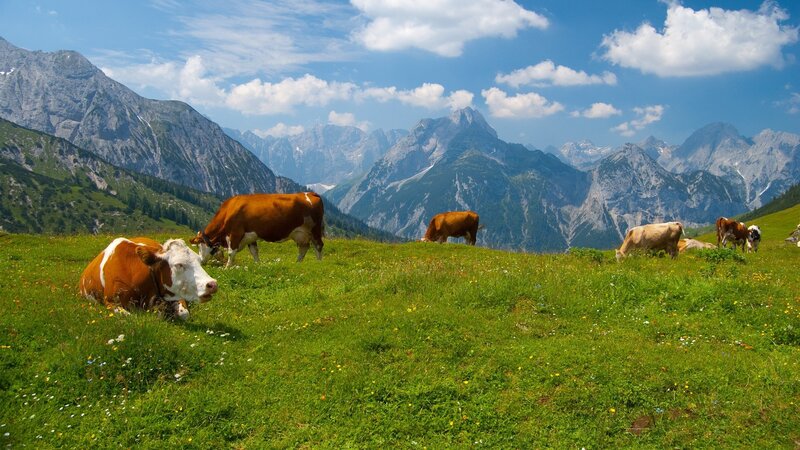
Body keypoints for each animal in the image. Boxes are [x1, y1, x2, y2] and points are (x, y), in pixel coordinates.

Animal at [79, 237, 218, 320]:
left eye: (199, 261)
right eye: (179, 264)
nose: (212, 284)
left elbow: (184, 313)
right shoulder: (111, 302)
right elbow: (129, 316)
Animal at [191, 192, 324, 267]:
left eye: (199, 247)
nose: (200, 261)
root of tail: (311, 193)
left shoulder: (235, 233)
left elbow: (231, 252)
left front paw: (227, 267)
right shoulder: (250, 237)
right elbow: (254, 252)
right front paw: (258, 265)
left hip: (315, 229)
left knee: (318, 245)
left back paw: (319, 264)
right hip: (301, 233)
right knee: (304, 248)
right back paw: (297, 263)